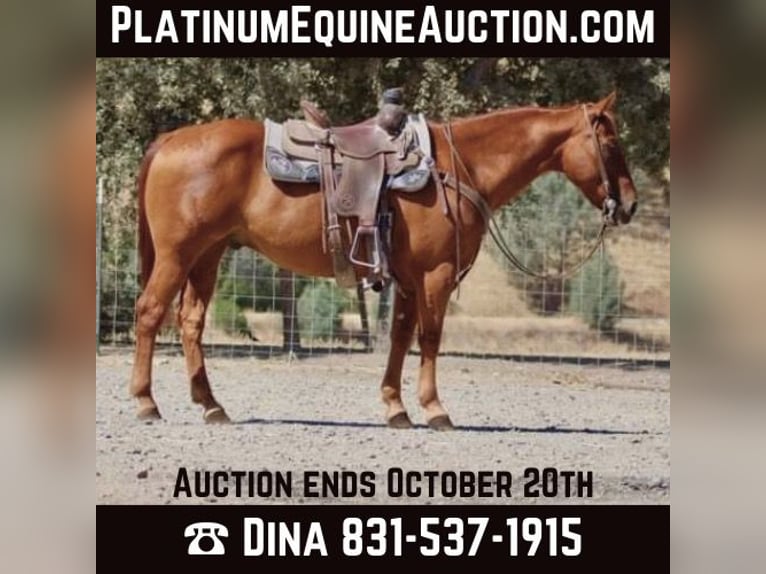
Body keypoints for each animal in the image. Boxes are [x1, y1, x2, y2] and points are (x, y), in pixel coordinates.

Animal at [130, 91, 637, 430]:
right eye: (611, 146)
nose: (629, 205)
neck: (459, 165)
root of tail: (169, 140)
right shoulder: (436, 275)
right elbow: (430, 338)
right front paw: (435, 409)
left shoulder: (408, 279)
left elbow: (399, 337)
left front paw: (396, 408)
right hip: (177, 254)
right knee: (150, 313)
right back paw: (146, 403)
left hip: (207, 255)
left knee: (190, 321)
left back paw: (212, 406)